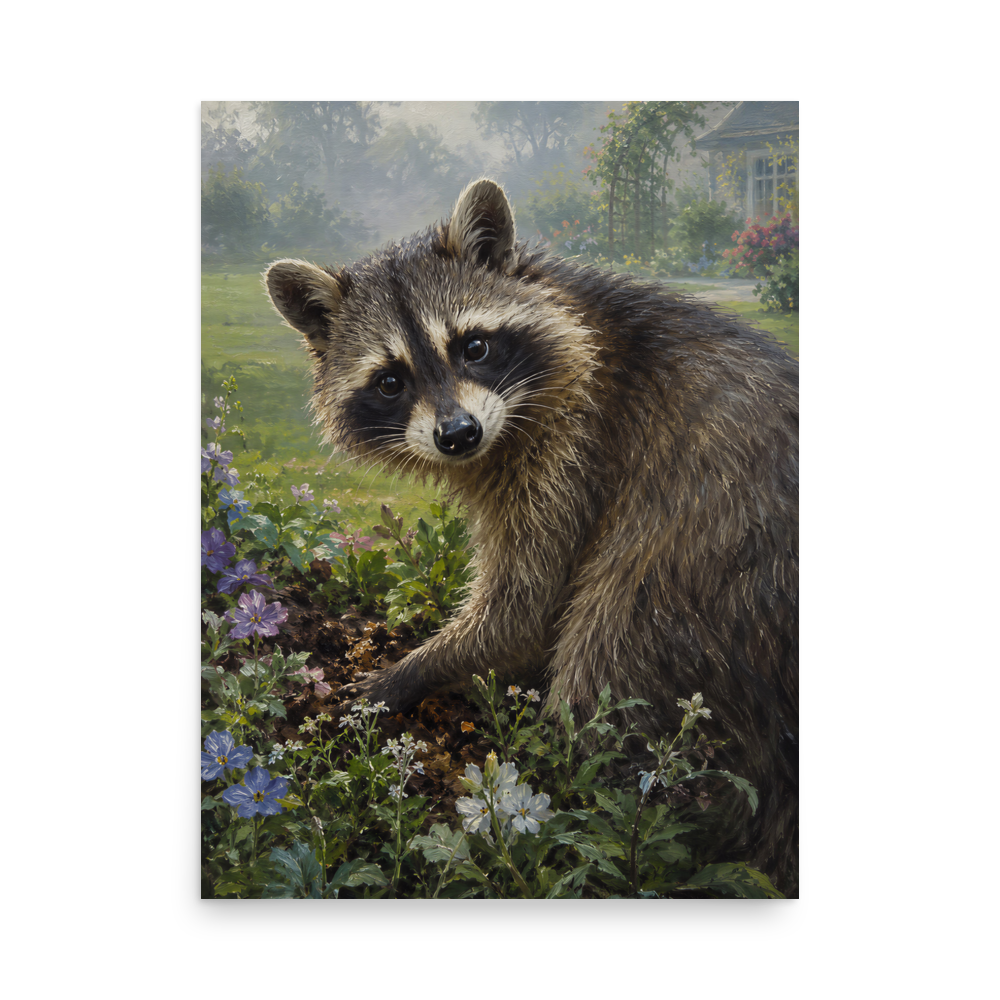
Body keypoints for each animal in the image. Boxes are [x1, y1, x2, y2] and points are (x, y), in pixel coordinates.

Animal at [265, 179, 799, 893]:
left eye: (474, 347)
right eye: (390, 380)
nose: (458, 435)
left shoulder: (578, 449)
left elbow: (524, 609)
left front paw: (410, 672)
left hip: (702, 578)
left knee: (609, 660)